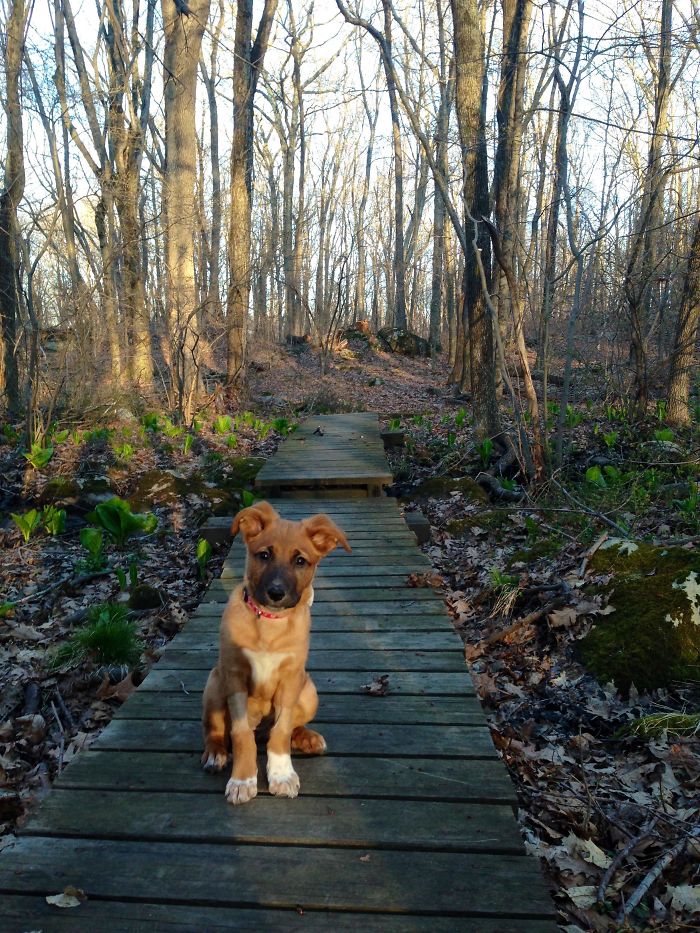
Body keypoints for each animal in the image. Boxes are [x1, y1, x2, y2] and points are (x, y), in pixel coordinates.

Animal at [201, 502, 350, 800]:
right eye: (264, 555)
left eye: (300, 561)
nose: (276, 593)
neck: (269, 622)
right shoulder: (234, 675)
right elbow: (240, 733)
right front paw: (243, 779)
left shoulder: (291, 678)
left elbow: (281, 731)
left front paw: (281, 774)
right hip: (214, 682)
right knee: (216, 729)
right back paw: (215, 754)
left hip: (309, 691)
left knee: (285, 727)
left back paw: (306, 737)